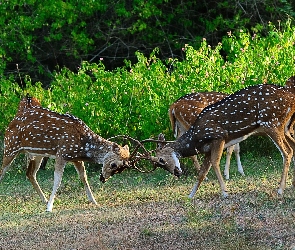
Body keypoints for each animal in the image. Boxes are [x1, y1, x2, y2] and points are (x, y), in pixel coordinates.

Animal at [0, 94, 130, 212]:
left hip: (37, 154)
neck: (84, 146)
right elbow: (57, 180)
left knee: (30, 173)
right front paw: (49, 208)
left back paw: (44, 199)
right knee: (3, 171)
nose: (103, 179)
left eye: (121, 169)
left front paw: (94, 201)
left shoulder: (75, 158)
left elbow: (84, 177)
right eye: (113, 165)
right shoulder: (61, 153)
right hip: (10, 146)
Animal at [154, 84, 295, 199]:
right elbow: (202, 172)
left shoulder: (219, 137)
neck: (196, 138)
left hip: (272, 123)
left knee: (287, 152)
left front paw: (225, 190)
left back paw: (280, 190)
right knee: (292, 148)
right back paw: (290, 186)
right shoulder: (208, 148)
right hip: (284, 127)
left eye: (161, 159)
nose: (177, 173)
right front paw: (190, 195)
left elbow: (217, 161)